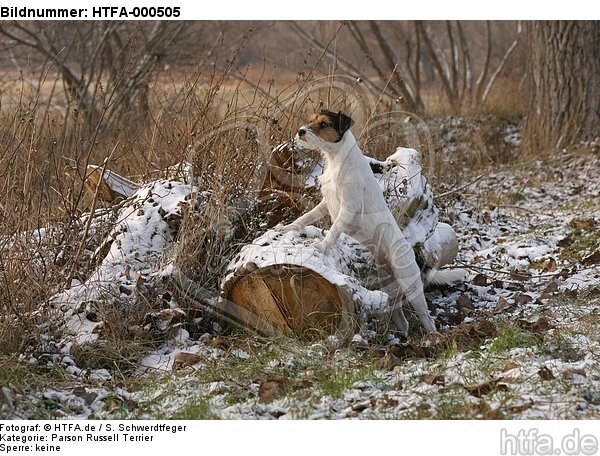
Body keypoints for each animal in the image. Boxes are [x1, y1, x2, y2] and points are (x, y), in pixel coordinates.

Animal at [282, 108, 464, 334]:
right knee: (401, 318)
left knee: (427, 318)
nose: (300, 131)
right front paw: (289, 227)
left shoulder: (348, 209)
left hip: (410, 286)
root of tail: (413, 253)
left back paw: (432, 337)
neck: (336, 159)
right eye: (311, 120)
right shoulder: (326, 203)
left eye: (324, 124)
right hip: (389, 284)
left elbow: (334, 231)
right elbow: (307, 216)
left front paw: (321, 246)